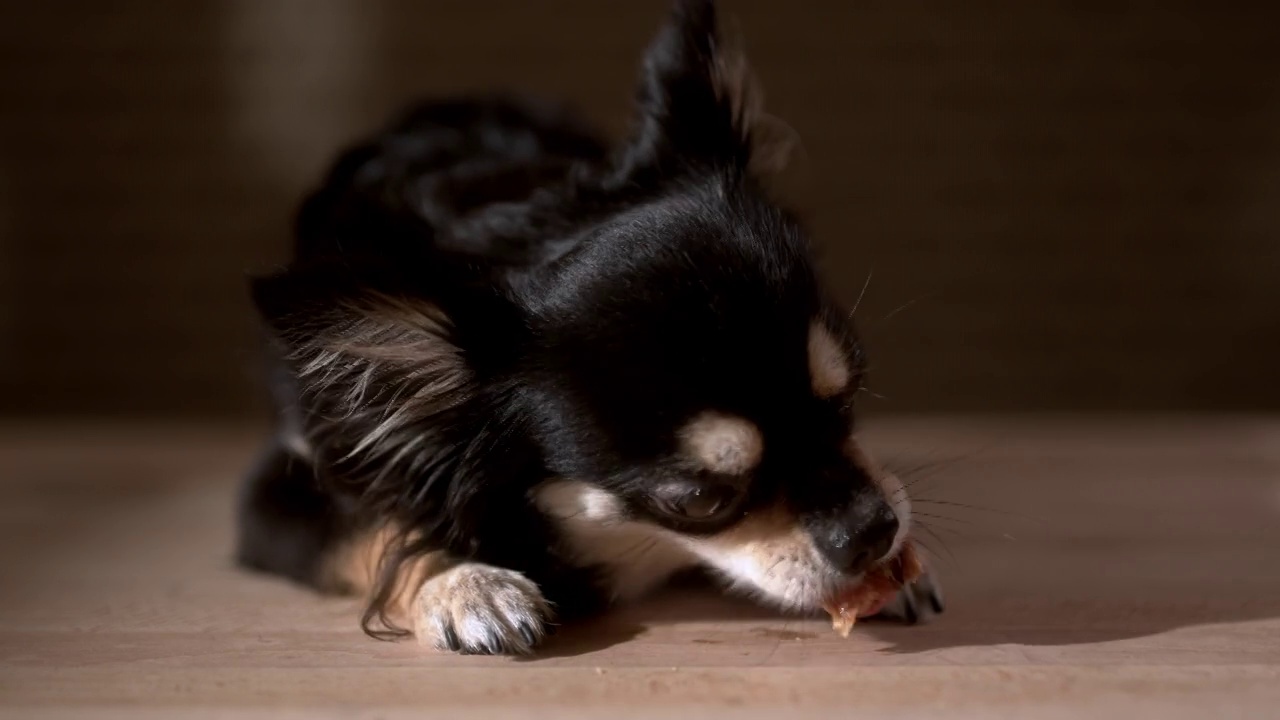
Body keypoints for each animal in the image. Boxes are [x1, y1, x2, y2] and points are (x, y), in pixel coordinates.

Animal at [238, 0, 942, 653]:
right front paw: (461, 581)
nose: (873, 531)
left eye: (847, 400)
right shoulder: (285, 486)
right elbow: (374, 529)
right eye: (698, 501)